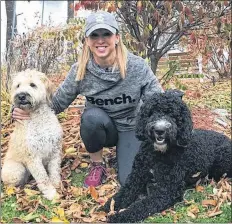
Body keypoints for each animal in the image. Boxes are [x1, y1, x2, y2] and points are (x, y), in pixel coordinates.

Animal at [1, 69, 63, 200]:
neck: (38, 117)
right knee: (10, 184)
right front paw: (51, 193)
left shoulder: (55, 150)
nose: (21, 96)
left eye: (32, 85)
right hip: (16, 170)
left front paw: (56, 184)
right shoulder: (32, 157)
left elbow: (54, 170)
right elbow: (43, 177)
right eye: (18, 85)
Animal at [102, 89, 231, 222]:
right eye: (152, 112)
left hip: (222, 158)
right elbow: (125, 191)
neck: (158, 154)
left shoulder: (167, 190)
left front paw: (120, 216)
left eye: (173, 115)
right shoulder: (137, 176)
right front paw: (110, 204)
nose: (159, 130)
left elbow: (143, 205)